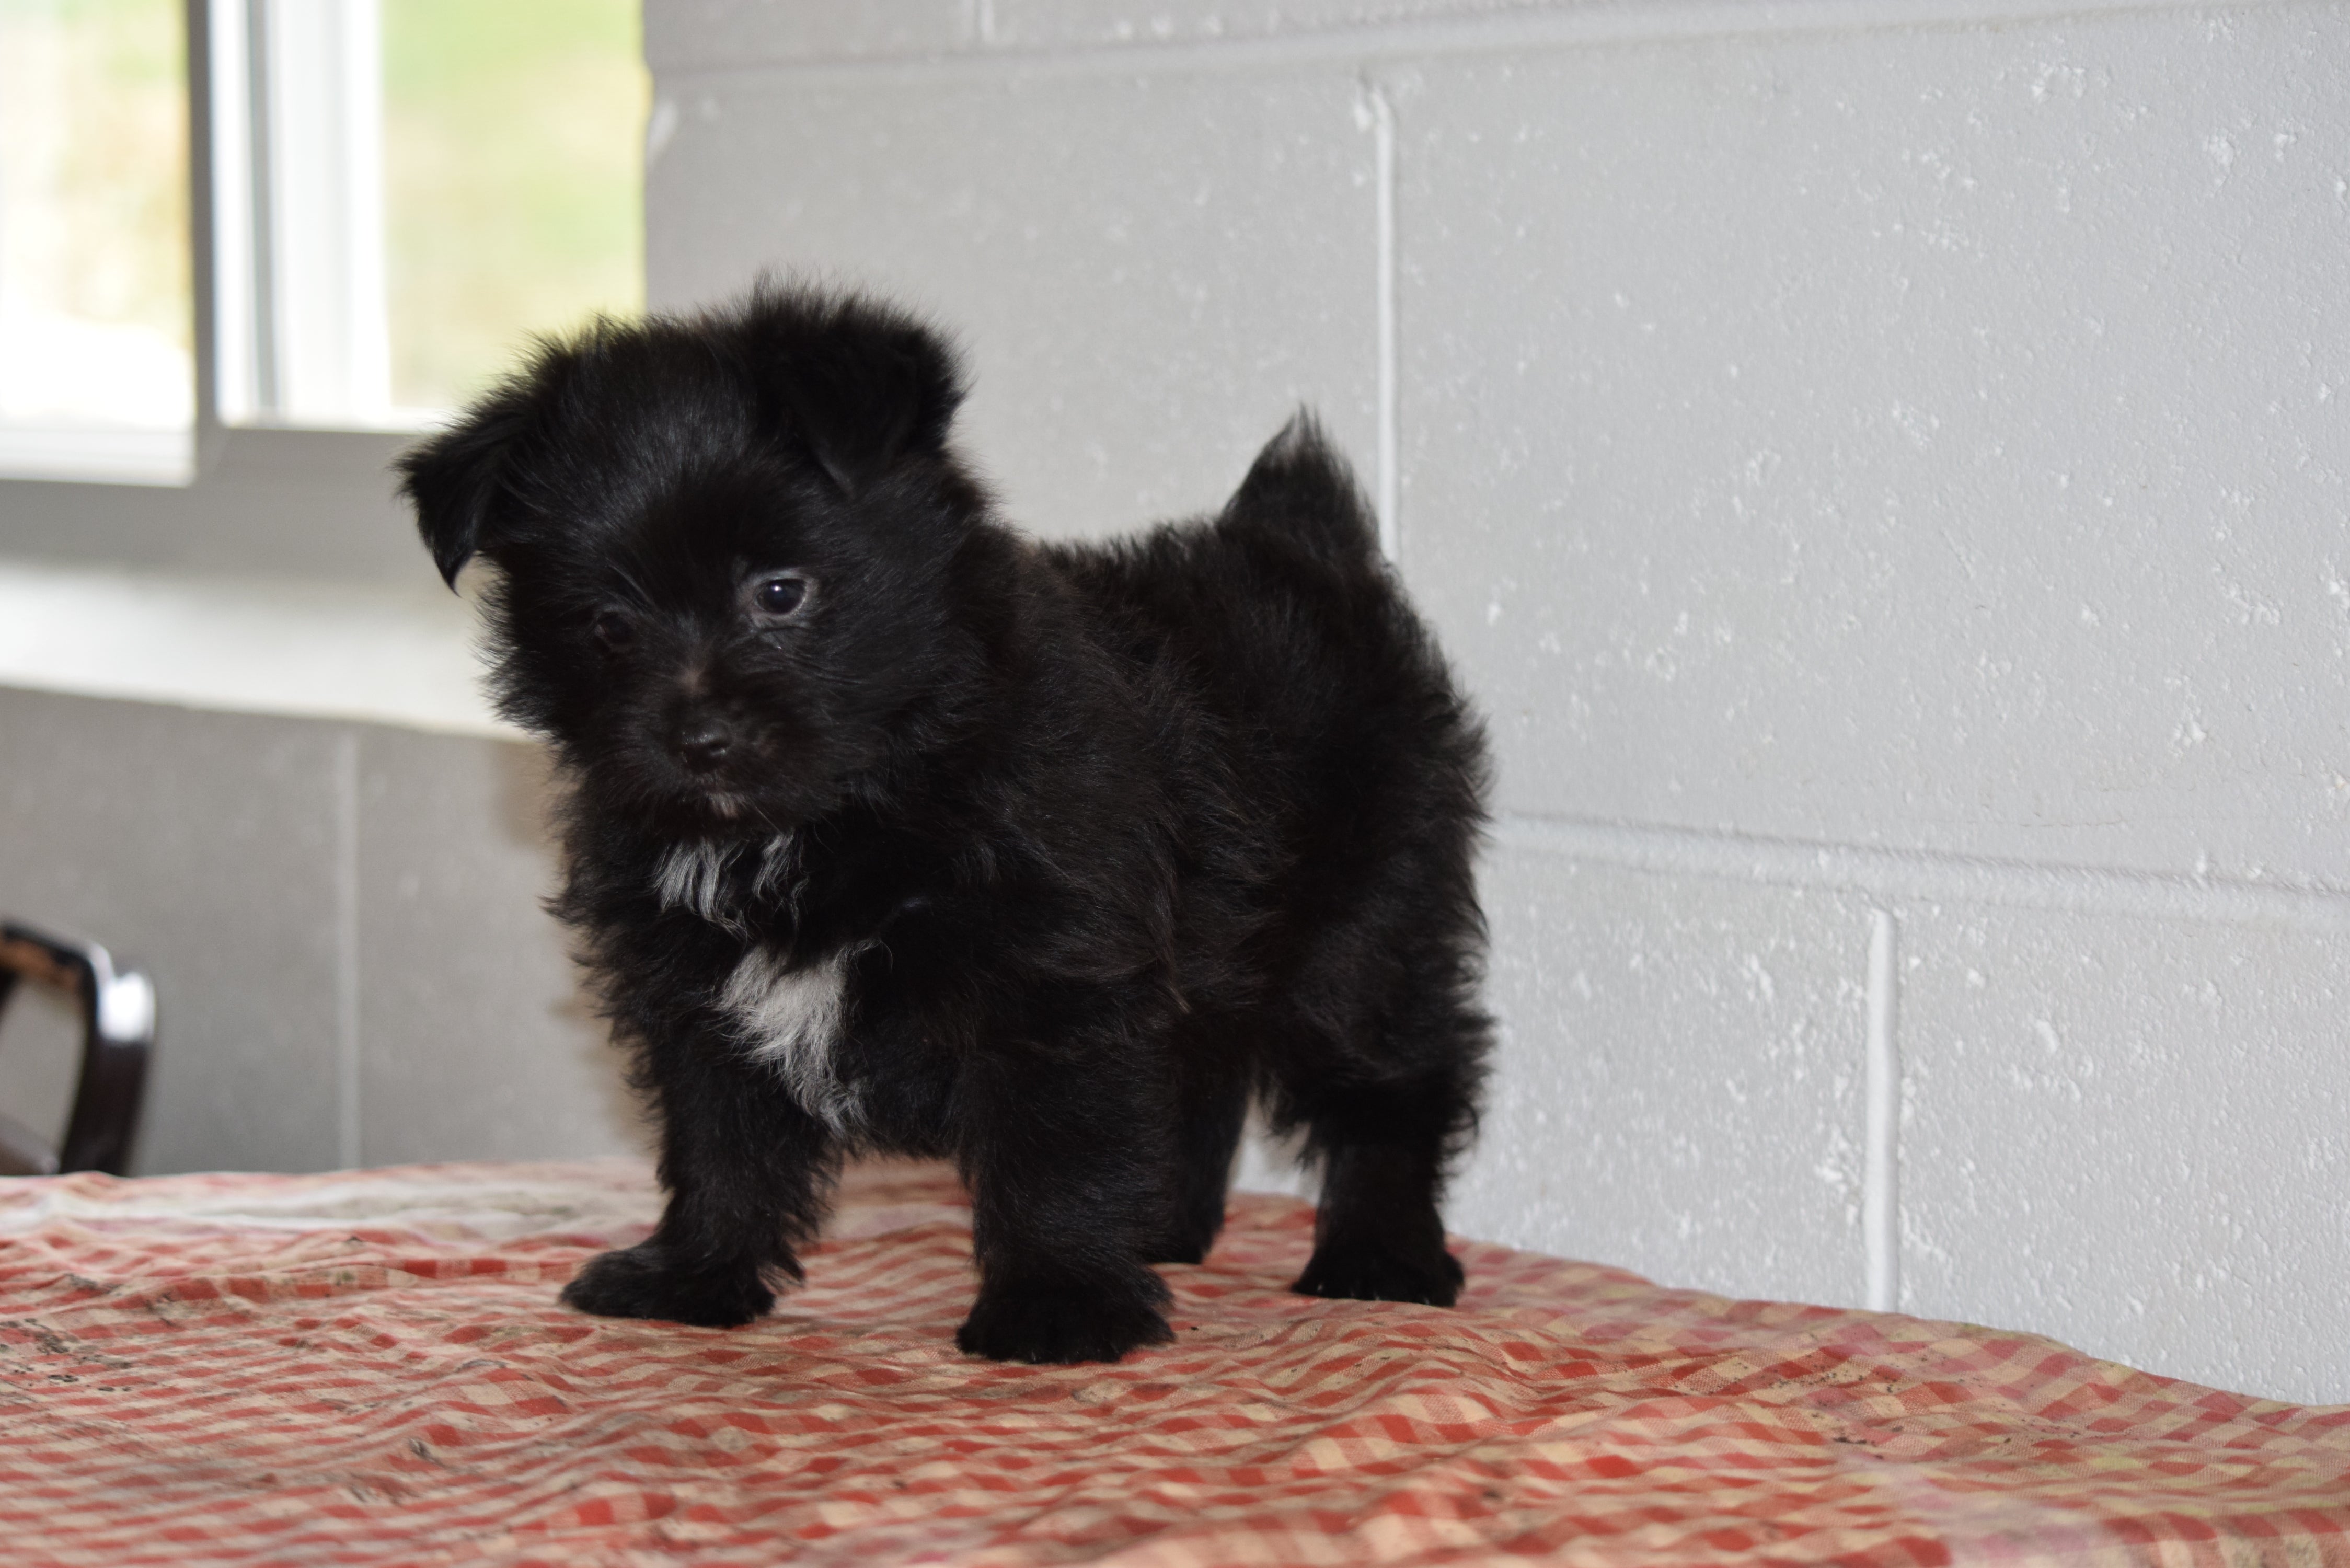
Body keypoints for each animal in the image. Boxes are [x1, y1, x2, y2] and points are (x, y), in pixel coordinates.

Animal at [387, 287, 1485, 1363]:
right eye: (608, 628)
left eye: (780, 591)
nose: (697, 739)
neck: (833, 816)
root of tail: (1301, 550)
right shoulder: (699, 997)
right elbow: (717, 1147)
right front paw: (691, 1276)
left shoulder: (1052, 977)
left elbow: (1053, 1146)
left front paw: (1058, 1301)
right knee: (1201, 1072)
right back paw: (1164, 1228)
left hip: (1362, 938)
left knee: (1391, 1089)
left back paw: (1379, 1257)